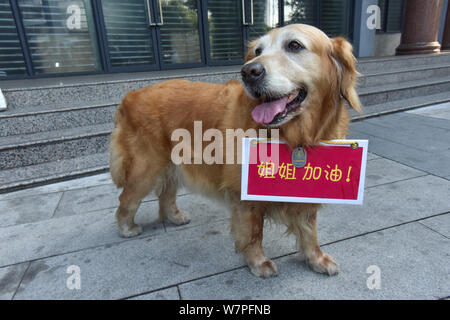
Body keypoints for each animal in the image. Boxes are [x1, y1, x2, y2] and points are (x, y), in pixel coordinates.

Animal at [110, 24, 362, 278]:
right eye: (258, 50)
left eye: (294, 45)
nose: (249, 72)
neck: (294, 135)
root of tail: (130, 95)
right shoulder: (244, 194)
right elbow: (253, 232)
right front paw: (258, 262)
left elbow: (310, 231)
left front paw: (316, 259)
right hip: (146, 170)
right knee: (127, 200)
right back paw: (126, 227)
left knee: (166, 195)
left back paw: (173, 217)